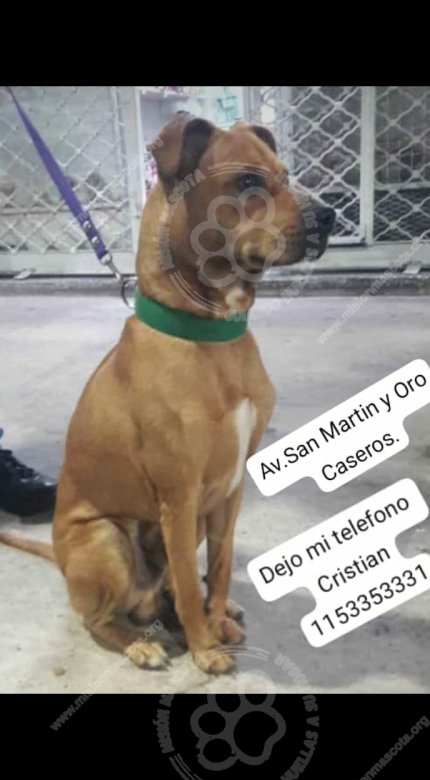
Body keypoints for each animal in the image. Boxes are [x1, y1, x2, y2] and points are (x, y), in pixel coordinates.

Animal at [0, 114, 334, 674]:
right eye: (248, 181)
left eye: (286, 176)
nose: (330, 216)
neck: (212, 338)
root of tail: (63, 561)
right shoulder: (179, 496)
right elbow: (189, 585)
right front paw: (205, 648)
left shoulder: (227, 492)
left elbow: (216, 569)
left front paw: (216, 620)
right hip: (108, 539)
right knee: (99, 618)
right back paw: (140, 641)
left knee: (166, 589)